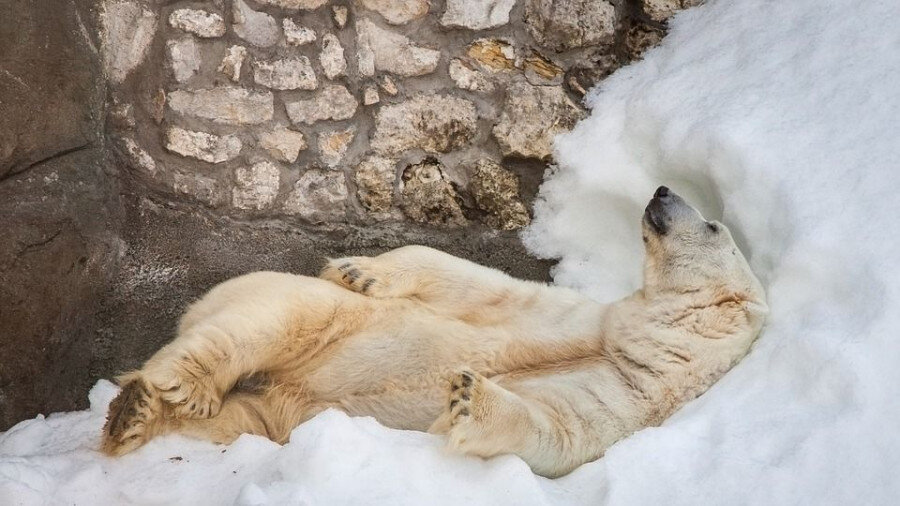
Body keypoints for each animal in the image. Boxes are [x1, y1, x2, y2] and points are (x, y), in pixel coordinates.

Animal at [101, 186, 767, 478]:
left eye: (712, 225)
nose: (661, 189)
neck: (640, 346)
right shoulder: (584, 318)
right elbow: (477, 284)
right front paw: (361, 269)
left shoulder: (626, 403)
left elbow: (554, 434)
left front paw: (470, 398)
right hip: (304, 319)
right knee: (275, 318)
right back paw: (172, 388)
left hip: (280, 415)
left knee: (238, 419)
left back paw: (138, 415)